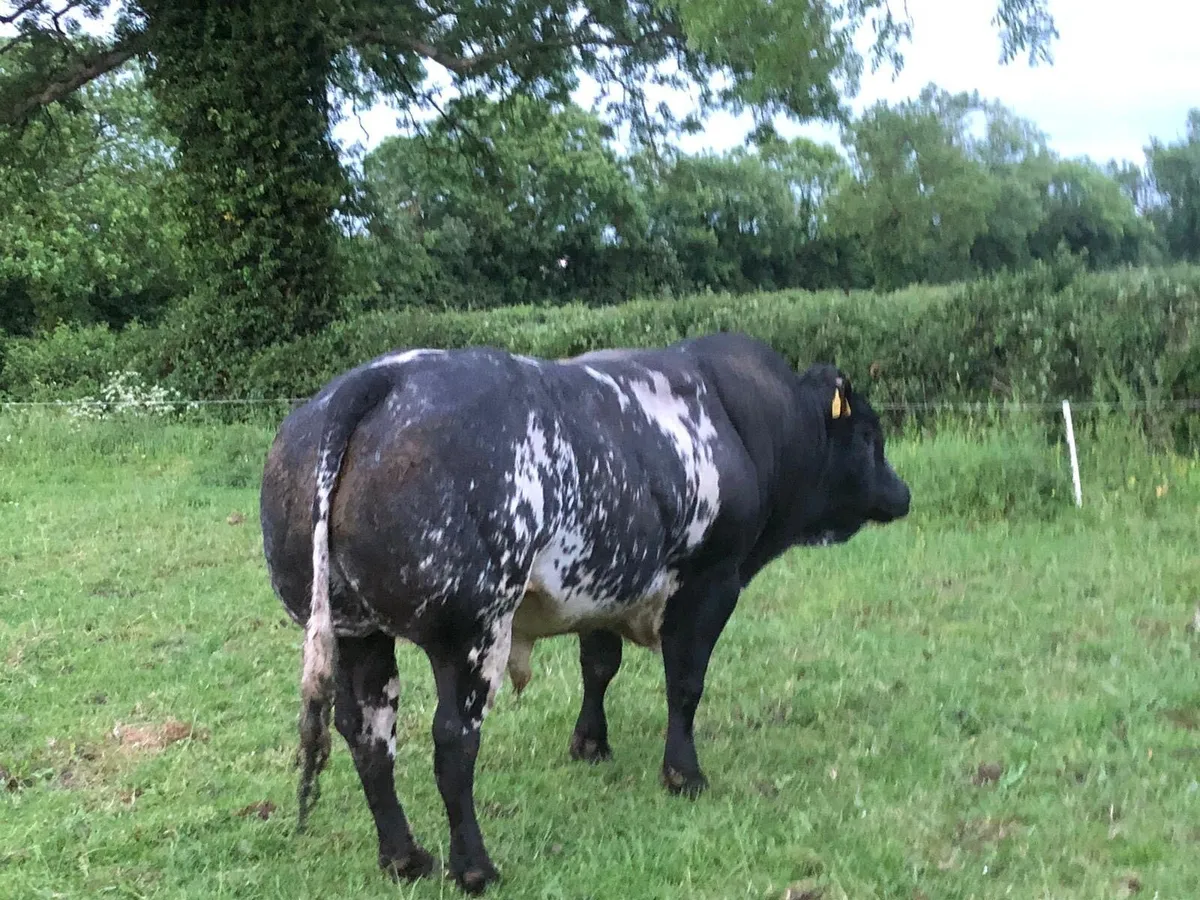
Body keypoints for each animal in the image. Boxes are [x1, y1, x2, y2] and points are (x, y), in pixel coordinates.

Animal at [258, 331, 910, 894]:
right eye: (869, 435)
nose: (902, 495)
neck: (750, 425)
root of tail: (377, 378)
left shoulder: (603, 587)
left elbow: (598, 666)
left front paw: (590, 744)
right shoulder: (711, 582)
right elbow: (686, 683)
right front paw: (684, 774)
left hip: (357, 631)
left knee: (367, 729)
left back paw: (404, 858)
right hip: (470, 630)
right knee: (452, 740)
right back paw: (474, 868)